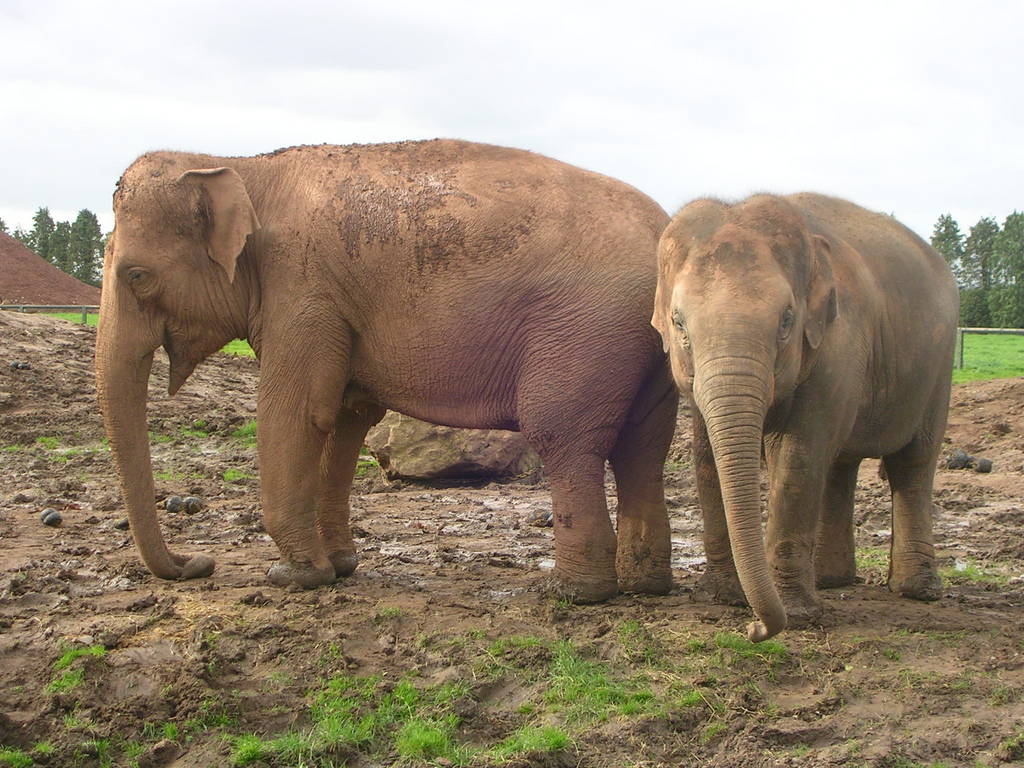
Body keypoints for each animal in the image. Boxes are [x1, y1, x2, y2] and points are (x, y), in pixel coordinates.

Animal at [95, 139, 678, 601]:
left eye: (136, 276)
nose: (197, 564)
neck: (241, 164)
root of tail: (664, 227)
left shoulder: (304, 289)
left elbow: (298, 413)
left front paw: (293, 577)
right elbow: (345, 419)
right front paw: (339, 569)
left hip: (586, 329)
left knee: (562, 435)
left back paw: (574, 593)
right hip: (642, 342)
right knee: (643, 447)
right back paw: (644, 586)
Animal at [651, 193, 958, 641]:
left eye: (786, 321)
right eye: (679, 323)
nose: (755, 629)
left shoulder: (840, 340)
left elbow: (799, 454)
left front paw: (795, 615)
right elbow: (706, 457)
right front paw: (727, 598)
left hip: (939, 365)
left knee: (914, 461)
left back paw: (917, 591)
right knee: (841, 464)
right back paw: (833, 581)